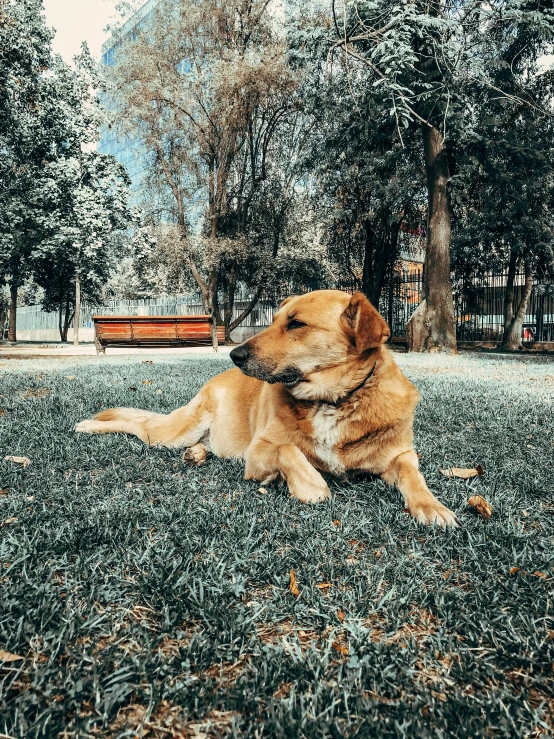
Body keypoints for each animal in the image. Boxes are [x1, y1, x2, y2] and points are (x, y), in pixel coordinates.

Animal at [76, 290, 458, 528]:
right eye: (274, 321)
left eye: (296, 323)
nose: (235, 354)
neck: (333, 400)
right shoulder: (258, 450)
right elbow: (288, 450)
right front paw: (310, 485)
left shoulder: (400, 454)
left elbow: (413, 475)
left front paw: (432, 506)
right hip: (173, 432)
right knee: (138, 424)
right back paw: (88, 426)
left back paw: (196, 454)